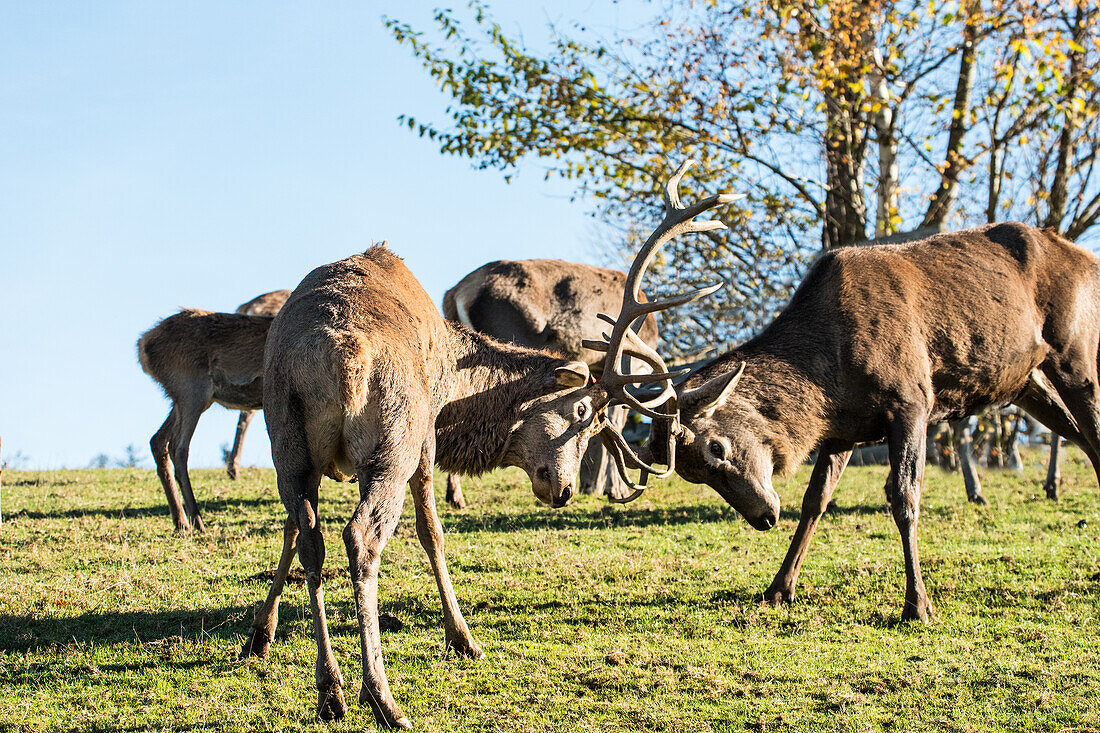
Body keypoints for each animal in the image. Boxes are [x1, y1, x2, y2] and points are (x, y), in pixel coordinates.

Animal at [137, 305, 275, 528]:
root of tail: (143, 344)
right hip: (192, 390)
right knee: (178, 447)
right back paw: (197, 520)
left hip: (185, 399)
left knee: (157, 440)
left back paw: (181, 522)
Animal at [440, 259, 660, 506]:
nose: (567, 491)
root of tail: (454, 293)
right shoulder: (631, 368)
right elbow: (618, 422)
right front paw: (614, 490)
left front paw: (593, 487)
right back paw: (456, 497)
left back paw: (453, 495)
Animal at [642, 220, 1100, 620]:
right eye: (693, 475)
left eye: (716, 446)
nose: (764, 517)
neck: (826, 380)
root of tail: (1087, 259)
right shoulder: (842, 430)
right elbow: (815, 501)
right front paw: (778, 589)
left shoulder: (912, 401)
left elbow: (904, 498)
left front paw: (917, 606)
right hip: (1027, 382)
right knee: (1083, 439)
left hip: (1074, 352)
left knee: (1092, 432)